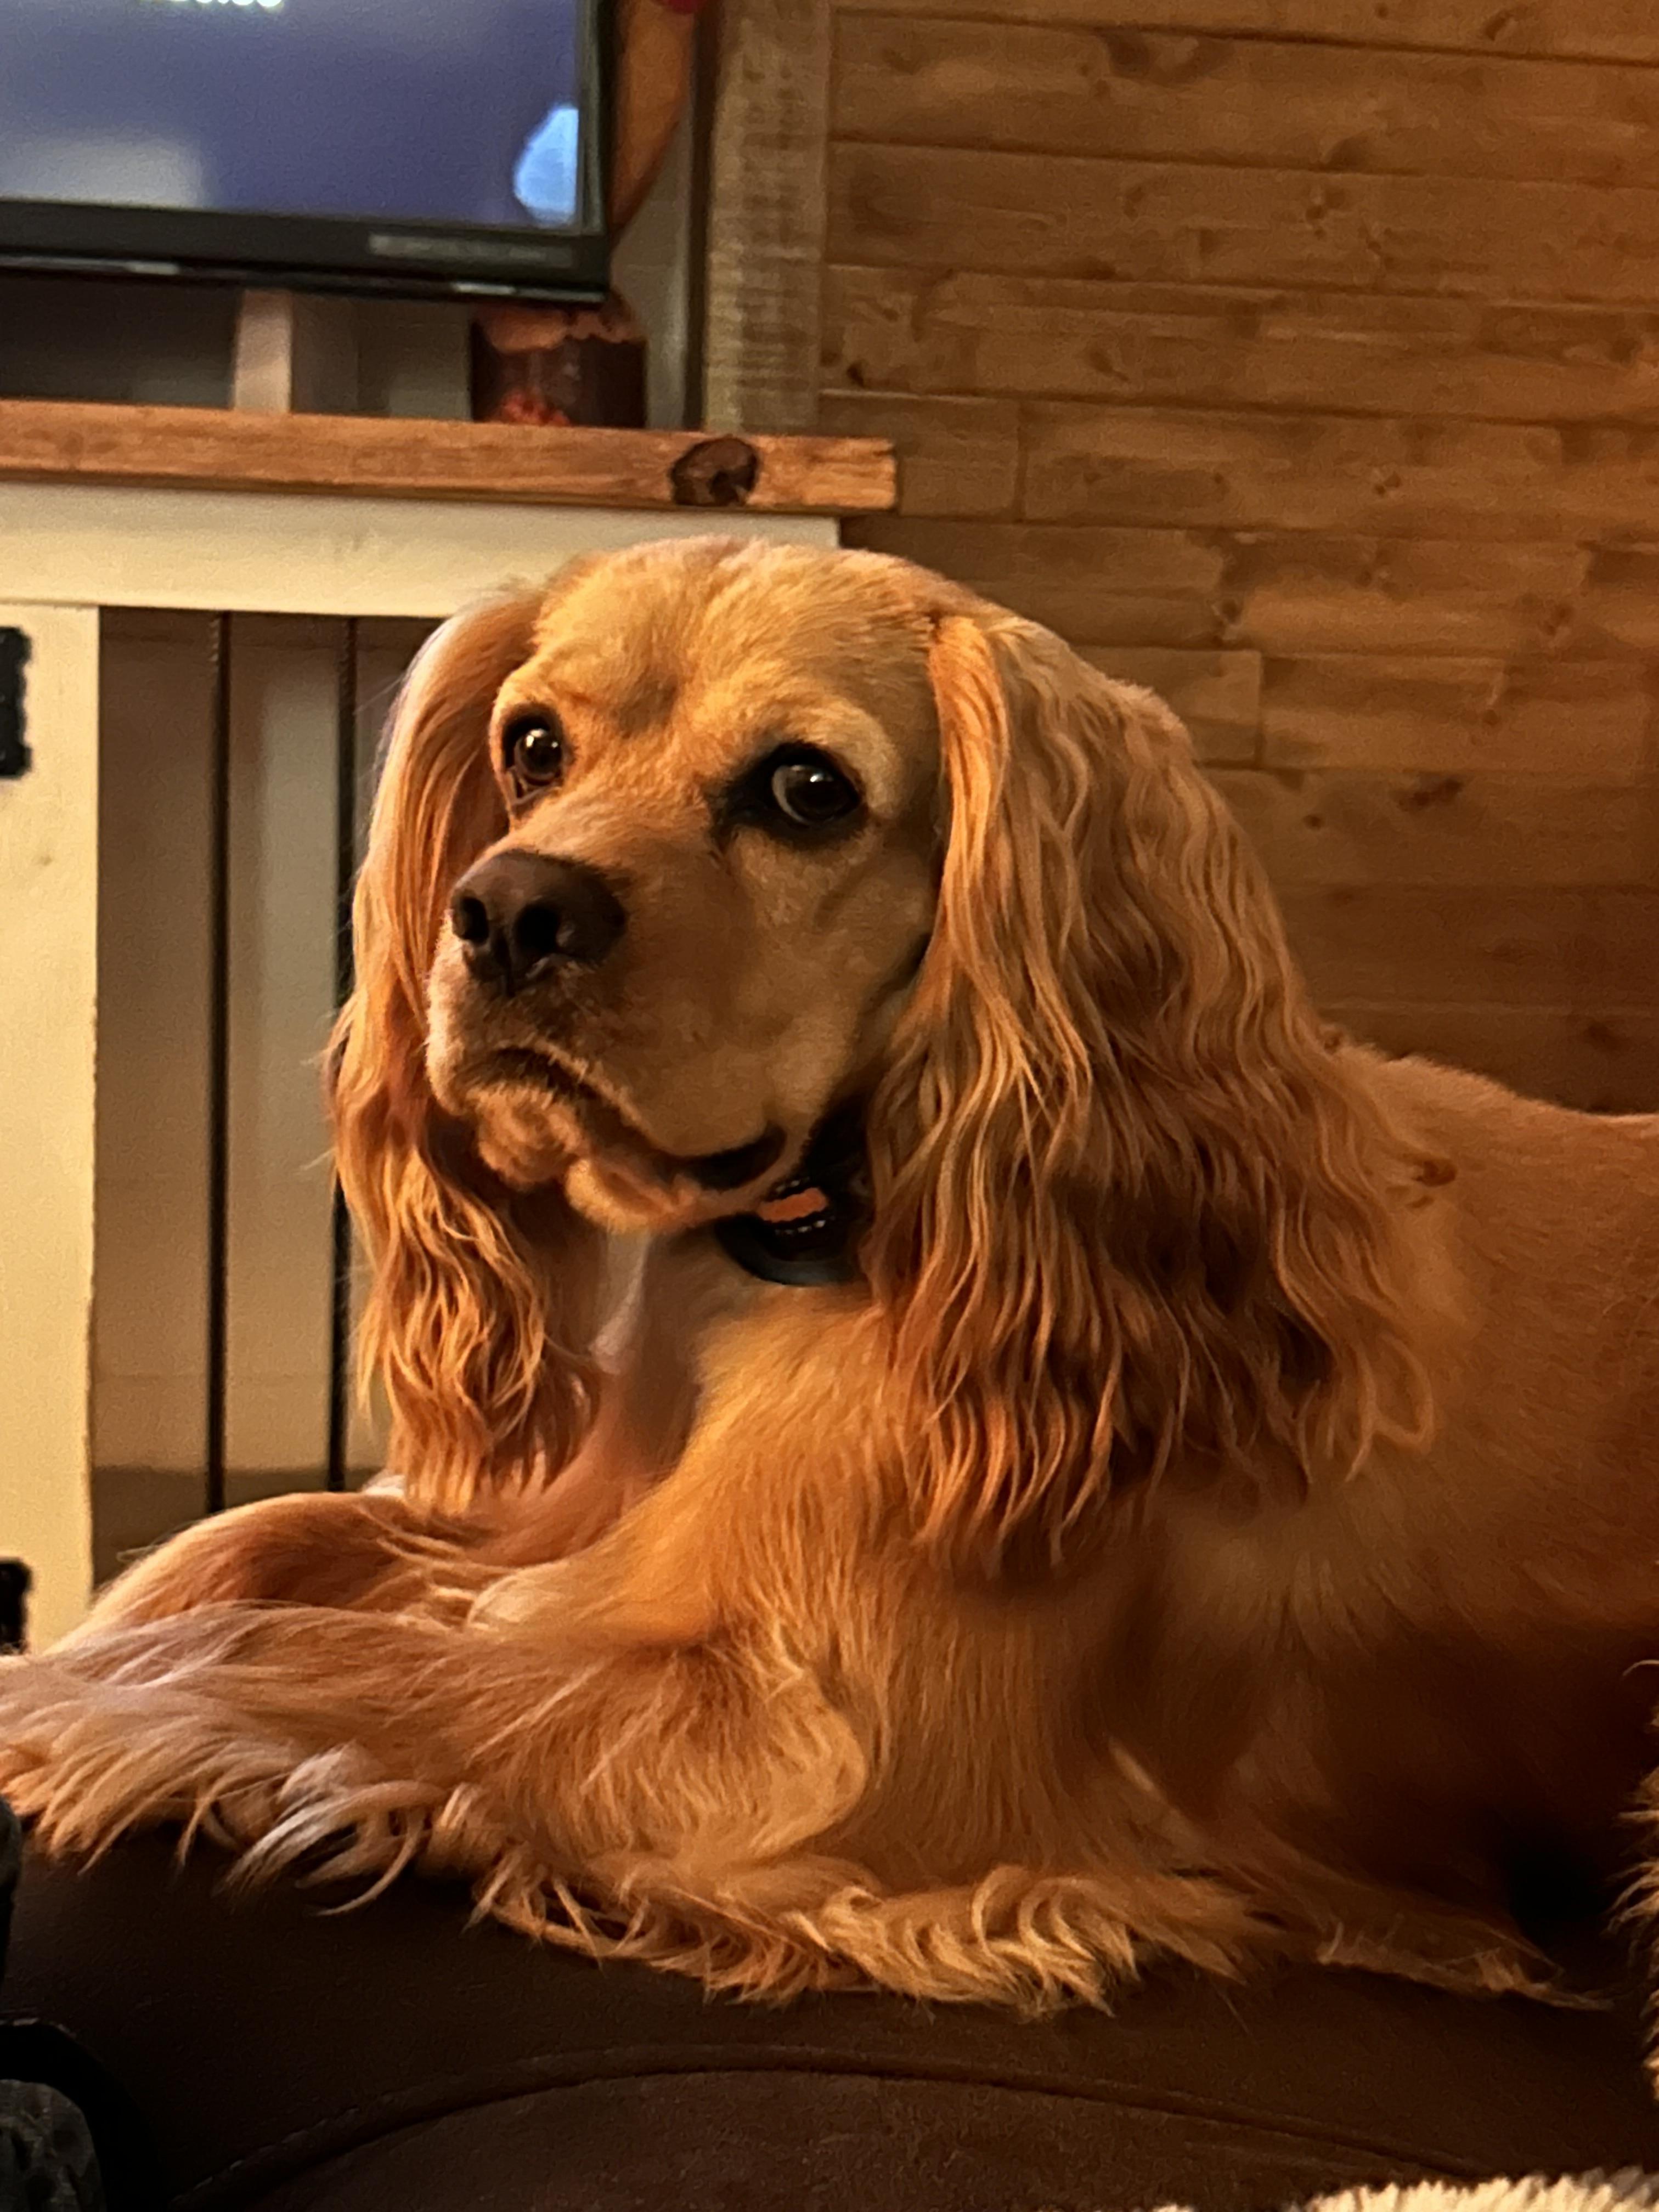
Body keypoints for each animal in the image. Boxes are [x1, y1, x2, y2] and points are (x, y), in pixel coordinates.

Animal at [4, 535, 1659, 2019]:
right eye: (532, 747)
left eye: (807, 791)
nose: (510, 911)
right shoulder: (568, 1539)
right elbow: (249, 1544)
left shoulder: (824, 1749)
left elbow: (312, 1653)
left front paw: (49, 1707)